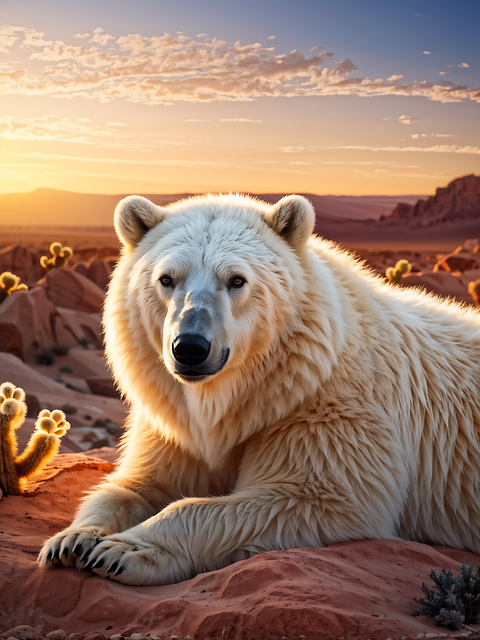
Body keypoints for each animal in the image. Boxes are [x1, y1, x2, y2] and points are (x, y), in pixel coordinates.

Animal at [38, 193, 480, 586]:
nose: (190, 347)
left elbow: (319, 497)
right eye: (166, 279)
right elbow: (138, 485)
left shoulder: (328, 411)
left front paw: (122, 550)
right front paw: (73, 541)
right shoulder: (175, 421)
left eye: (236, 279)